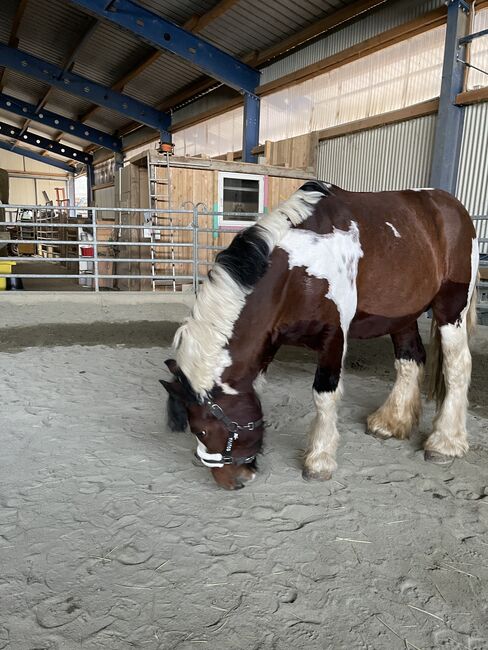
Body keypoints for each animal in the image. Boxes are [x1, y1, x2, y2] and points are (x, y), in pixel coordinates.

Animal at [162, 180, 478, 488]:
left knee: (458, 366)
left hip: (451, 310)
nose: (232, 481)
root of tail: (454, 208)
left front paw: (319, 461)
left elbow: (325, 395)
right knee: (410, 360)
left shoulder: (334, 335)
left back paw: (445, 442)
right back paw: (391, 422)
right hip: (402, 316)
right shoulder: (269, 341)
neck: (298, 269)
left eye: (203, 430)